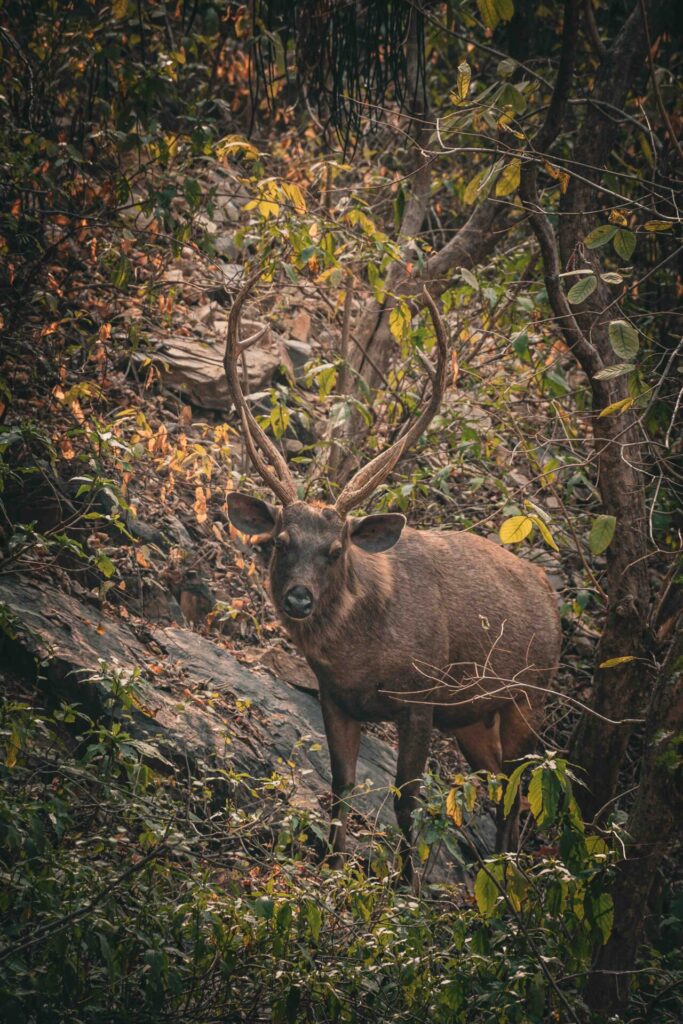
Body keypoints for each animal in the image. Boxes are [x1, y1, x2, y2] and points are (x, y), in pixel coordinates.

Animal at [224, 273, 561, 883]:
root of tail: (551, 597)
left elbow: (407, 799)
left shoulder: (421, 697)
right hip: (472, 718)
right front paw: (334, 869)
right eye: (280, 542)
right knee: (498, 783)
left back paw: (503, 883)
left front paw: (407, 887)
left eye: (336, 550)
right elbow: (341, 785)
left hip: (529, 694)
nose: (299, 598)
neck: (362, 654)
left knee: (517, 789)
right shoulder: (334, 697)